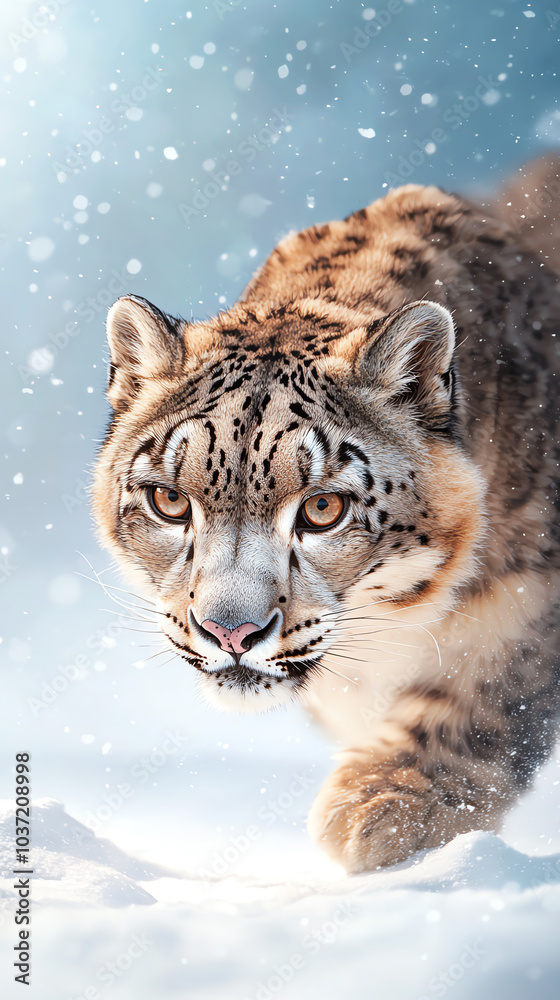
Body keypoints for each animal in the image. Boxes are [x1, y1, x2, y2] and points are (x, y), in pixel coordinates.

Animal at [92, 157, 560, 873]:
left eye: (322, 508)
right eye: (169, 501)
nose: (231, 632)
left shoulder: (535, 584)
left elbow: (488, 682)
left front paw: (383, 803)